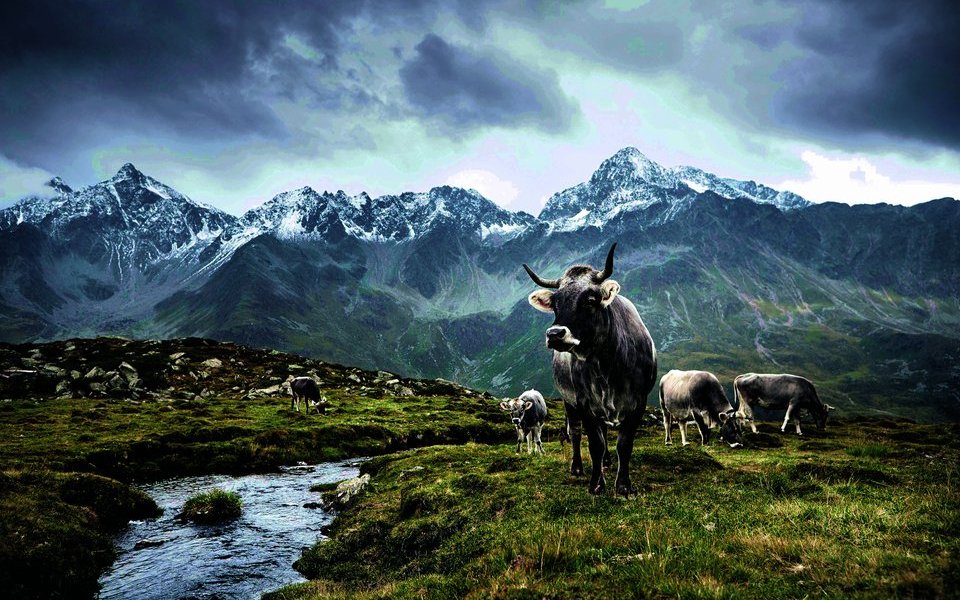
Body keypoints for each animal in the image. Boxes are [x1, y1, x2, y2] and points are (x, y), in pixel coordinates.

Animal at [520, 241, 656, 494]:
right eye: (556, 304)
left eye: (590, 301)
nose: (555, 334)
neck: (607, 366)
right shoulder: (584, 402)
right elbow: (594, 443)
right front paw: (596, 484)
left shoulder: (639, 402)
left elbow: (624, 444)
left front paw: (623, 486)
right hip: (569, 401)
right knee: (575, 432)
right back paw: (577, 467)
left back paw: (607, 462)